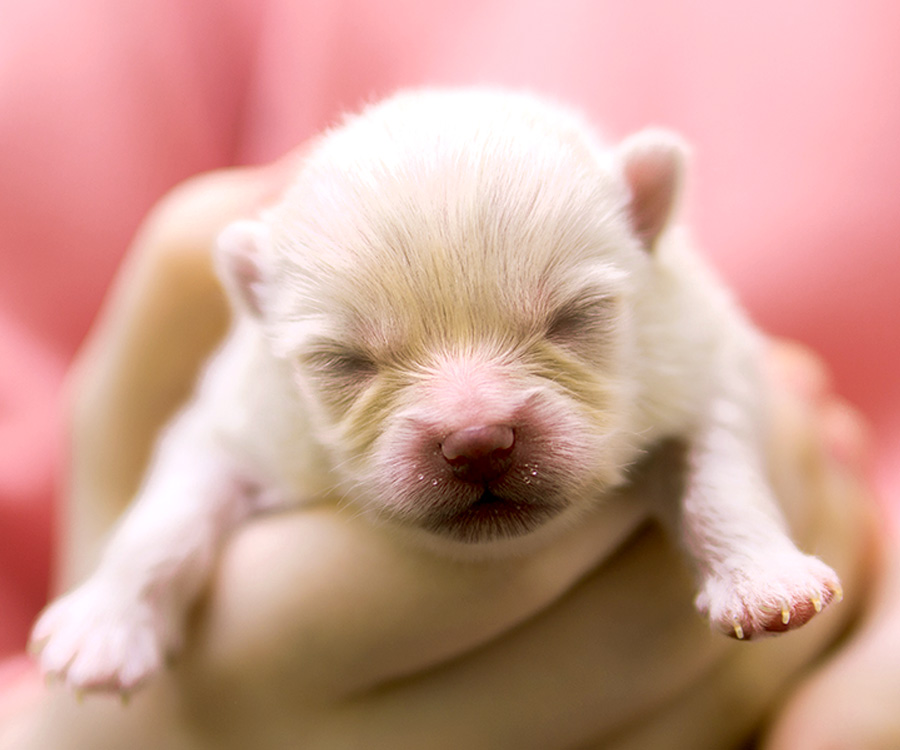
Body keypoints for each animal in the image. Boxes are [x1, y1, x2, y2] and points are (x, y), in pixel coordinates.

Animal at [29, 89, 844, 700]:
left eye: (572, 318)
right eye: (346, 362)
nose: (477, 441)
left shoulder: (705, 363)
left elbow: (720, 471)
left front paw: (764, 581)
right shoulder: (235, 422)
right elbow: (166, 516)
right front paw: (103, 625)